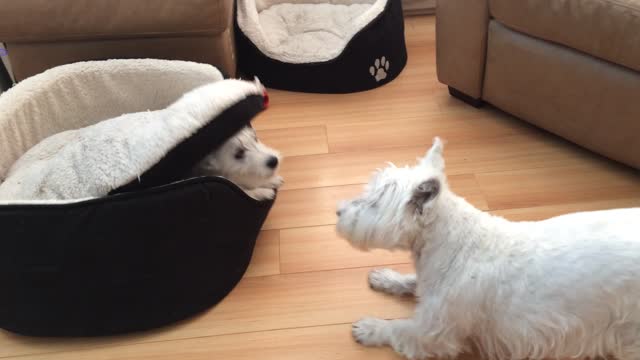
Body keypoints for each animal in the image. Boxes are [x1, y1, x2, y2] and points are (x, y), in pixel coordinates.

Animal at [336, 137, 640, 360]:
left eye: (374, 202)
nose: (337, 211)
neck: (448, 241)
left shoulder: (436, 329)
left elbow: (400, 328)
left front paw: (370, 327)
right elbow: (411, 281)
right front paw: (386, 278)